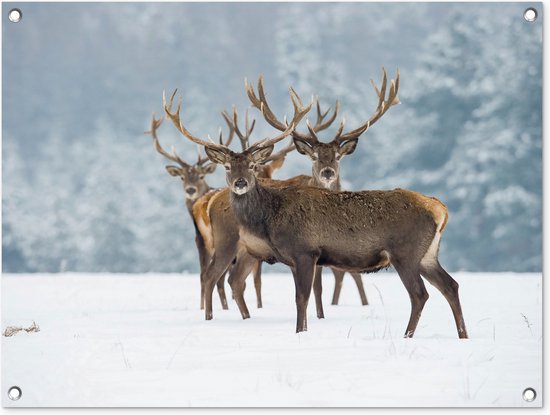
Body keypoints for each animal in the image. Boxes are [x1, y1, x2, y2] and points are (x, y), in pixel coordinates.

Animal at [164, 79, 470, 340]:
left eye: (251, 165)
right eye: (228, 166)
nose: (240, 182)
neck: (271, 218)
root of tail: (440, 209)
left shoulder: (305, 251)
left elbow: (302, 297)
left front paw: (300, 332)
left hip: (405, 252)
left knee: (420, 294)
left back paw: (408, 336)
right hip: (427, 254)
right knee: (451, 285)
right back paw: (462, 335)